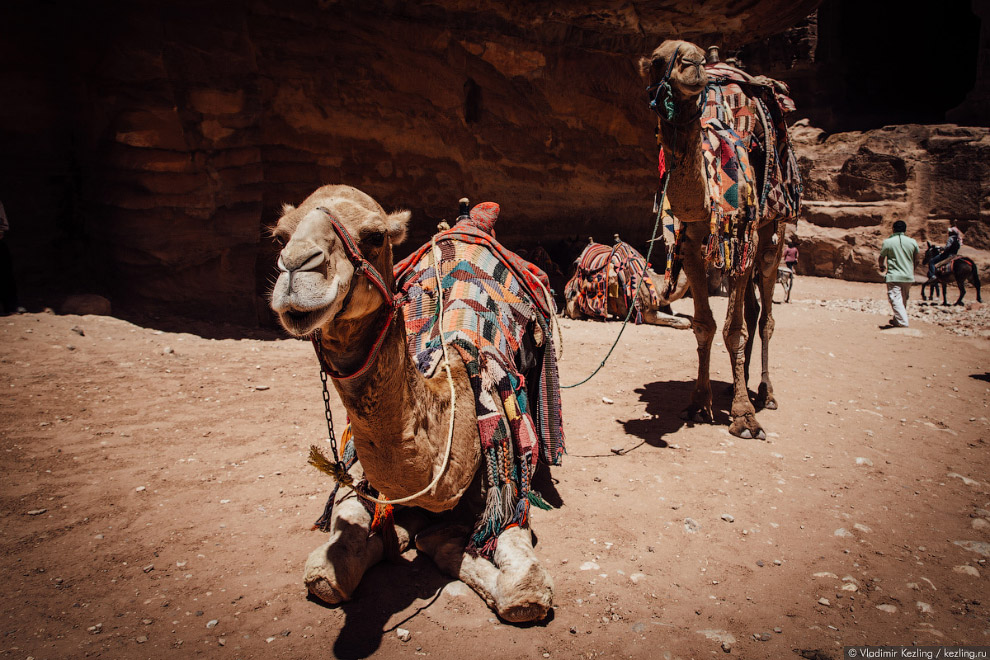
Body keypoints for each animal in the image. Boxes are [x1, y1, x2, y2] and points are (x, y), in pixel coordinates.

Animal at [270, 183, 564, 620]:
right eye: (280, 237)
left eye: (375, 236)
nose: (295, 270)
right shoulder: (377, 491)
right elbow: (325, 575)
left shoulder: (506, 497)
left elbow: (523, 594)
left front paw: (440, 541)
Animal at [640, 40, 804, 438]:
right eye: (657, 60)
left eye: (695, 55)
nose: (693, 63)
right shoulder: (689, 241)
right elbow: (704, 325)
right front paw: (700, 403)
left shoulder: (742, 234)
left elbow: (733, 330)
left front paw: (744, 417)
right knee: (753, 309)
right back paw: (736, 381)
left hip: (773, 234)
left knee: (765, 315)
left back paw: (764, 392)